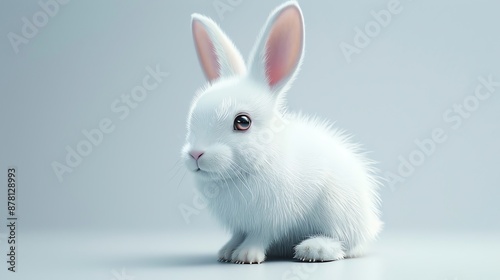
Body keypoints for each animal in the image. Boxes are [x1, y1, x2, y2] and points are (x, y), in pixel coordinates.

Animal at [182, 1, 380, 264]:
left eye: (242, 122)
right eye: (193, 116)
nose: (195, 154)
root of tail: (370, 223)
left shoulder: (272, 219)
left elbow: (259, 235)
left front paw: (245, 255)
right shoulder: (240, 225)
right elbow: (238, 234)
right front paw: (226, 252)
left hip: (339, 209)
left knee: (345, 244)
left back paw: (314, 249)